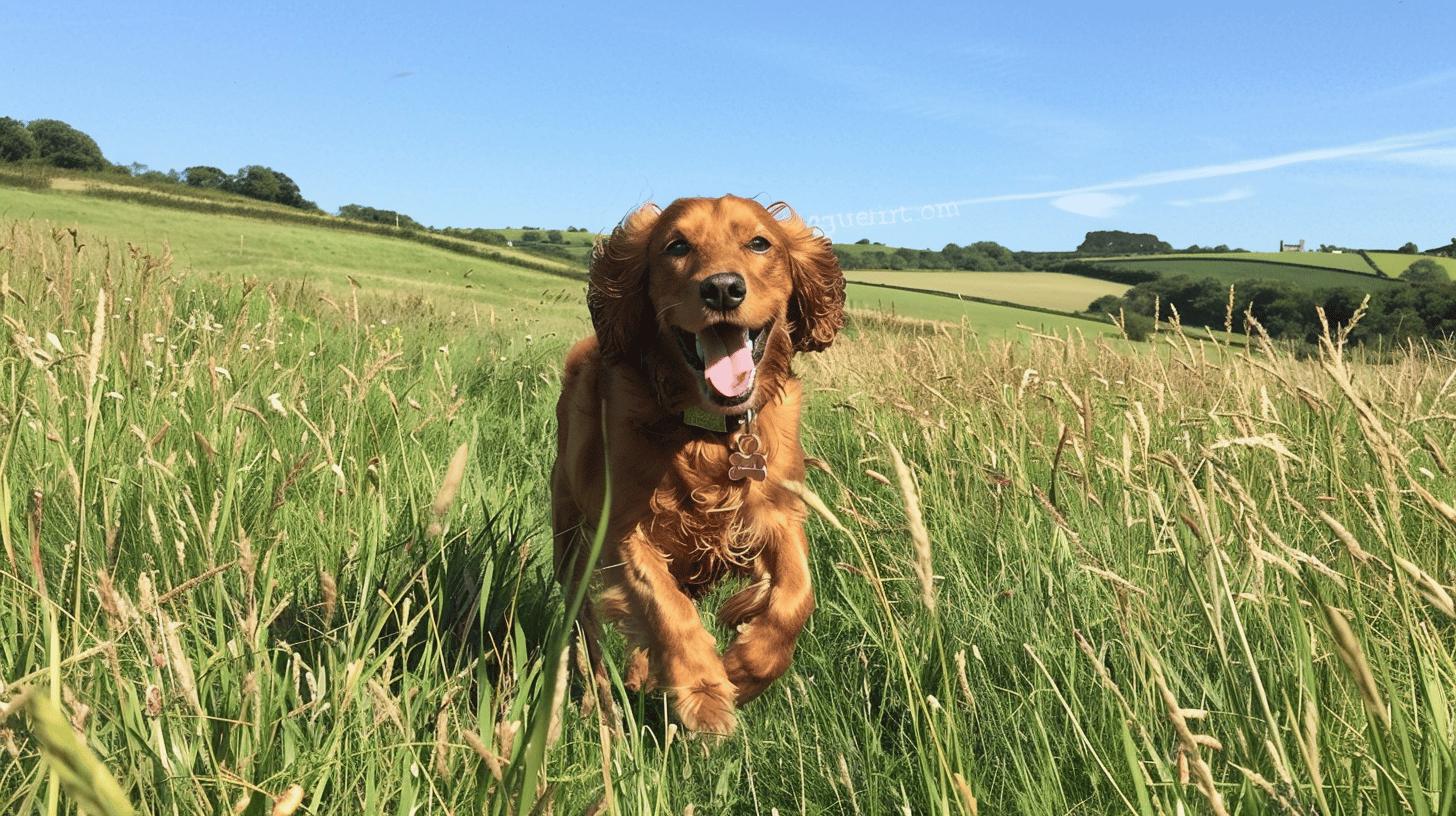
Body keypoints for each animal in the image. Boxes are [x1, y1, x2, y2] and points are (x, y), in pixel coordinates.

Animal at [547, 192, 850, 734]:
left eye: (759, 242)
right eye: (677, 246)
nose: (723, 289)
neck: (707, 432)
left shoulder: (778, 512)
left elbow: (797, 596)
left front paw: (747, 668)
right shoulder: (623, 528)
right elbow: (665, 608)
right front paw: (704, 691)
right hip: (570, 541)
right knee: (588, 633)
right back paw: (601, 708)